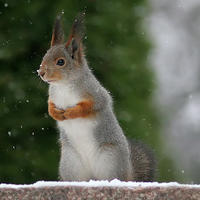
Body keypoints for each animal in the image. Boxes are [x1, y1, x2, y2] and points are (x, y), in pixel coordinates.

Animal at [37, 12, 156, 181]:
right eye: (44, 56)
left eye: (60, 62)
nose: (41, 73)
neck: (64, 85)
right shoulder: (53, 96)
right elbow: (50, 106)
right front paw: (56, 114)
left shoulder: (97, 95)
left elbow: (90, 106)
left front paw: (71, 113)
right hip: (71, 163)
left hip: (111, 161)